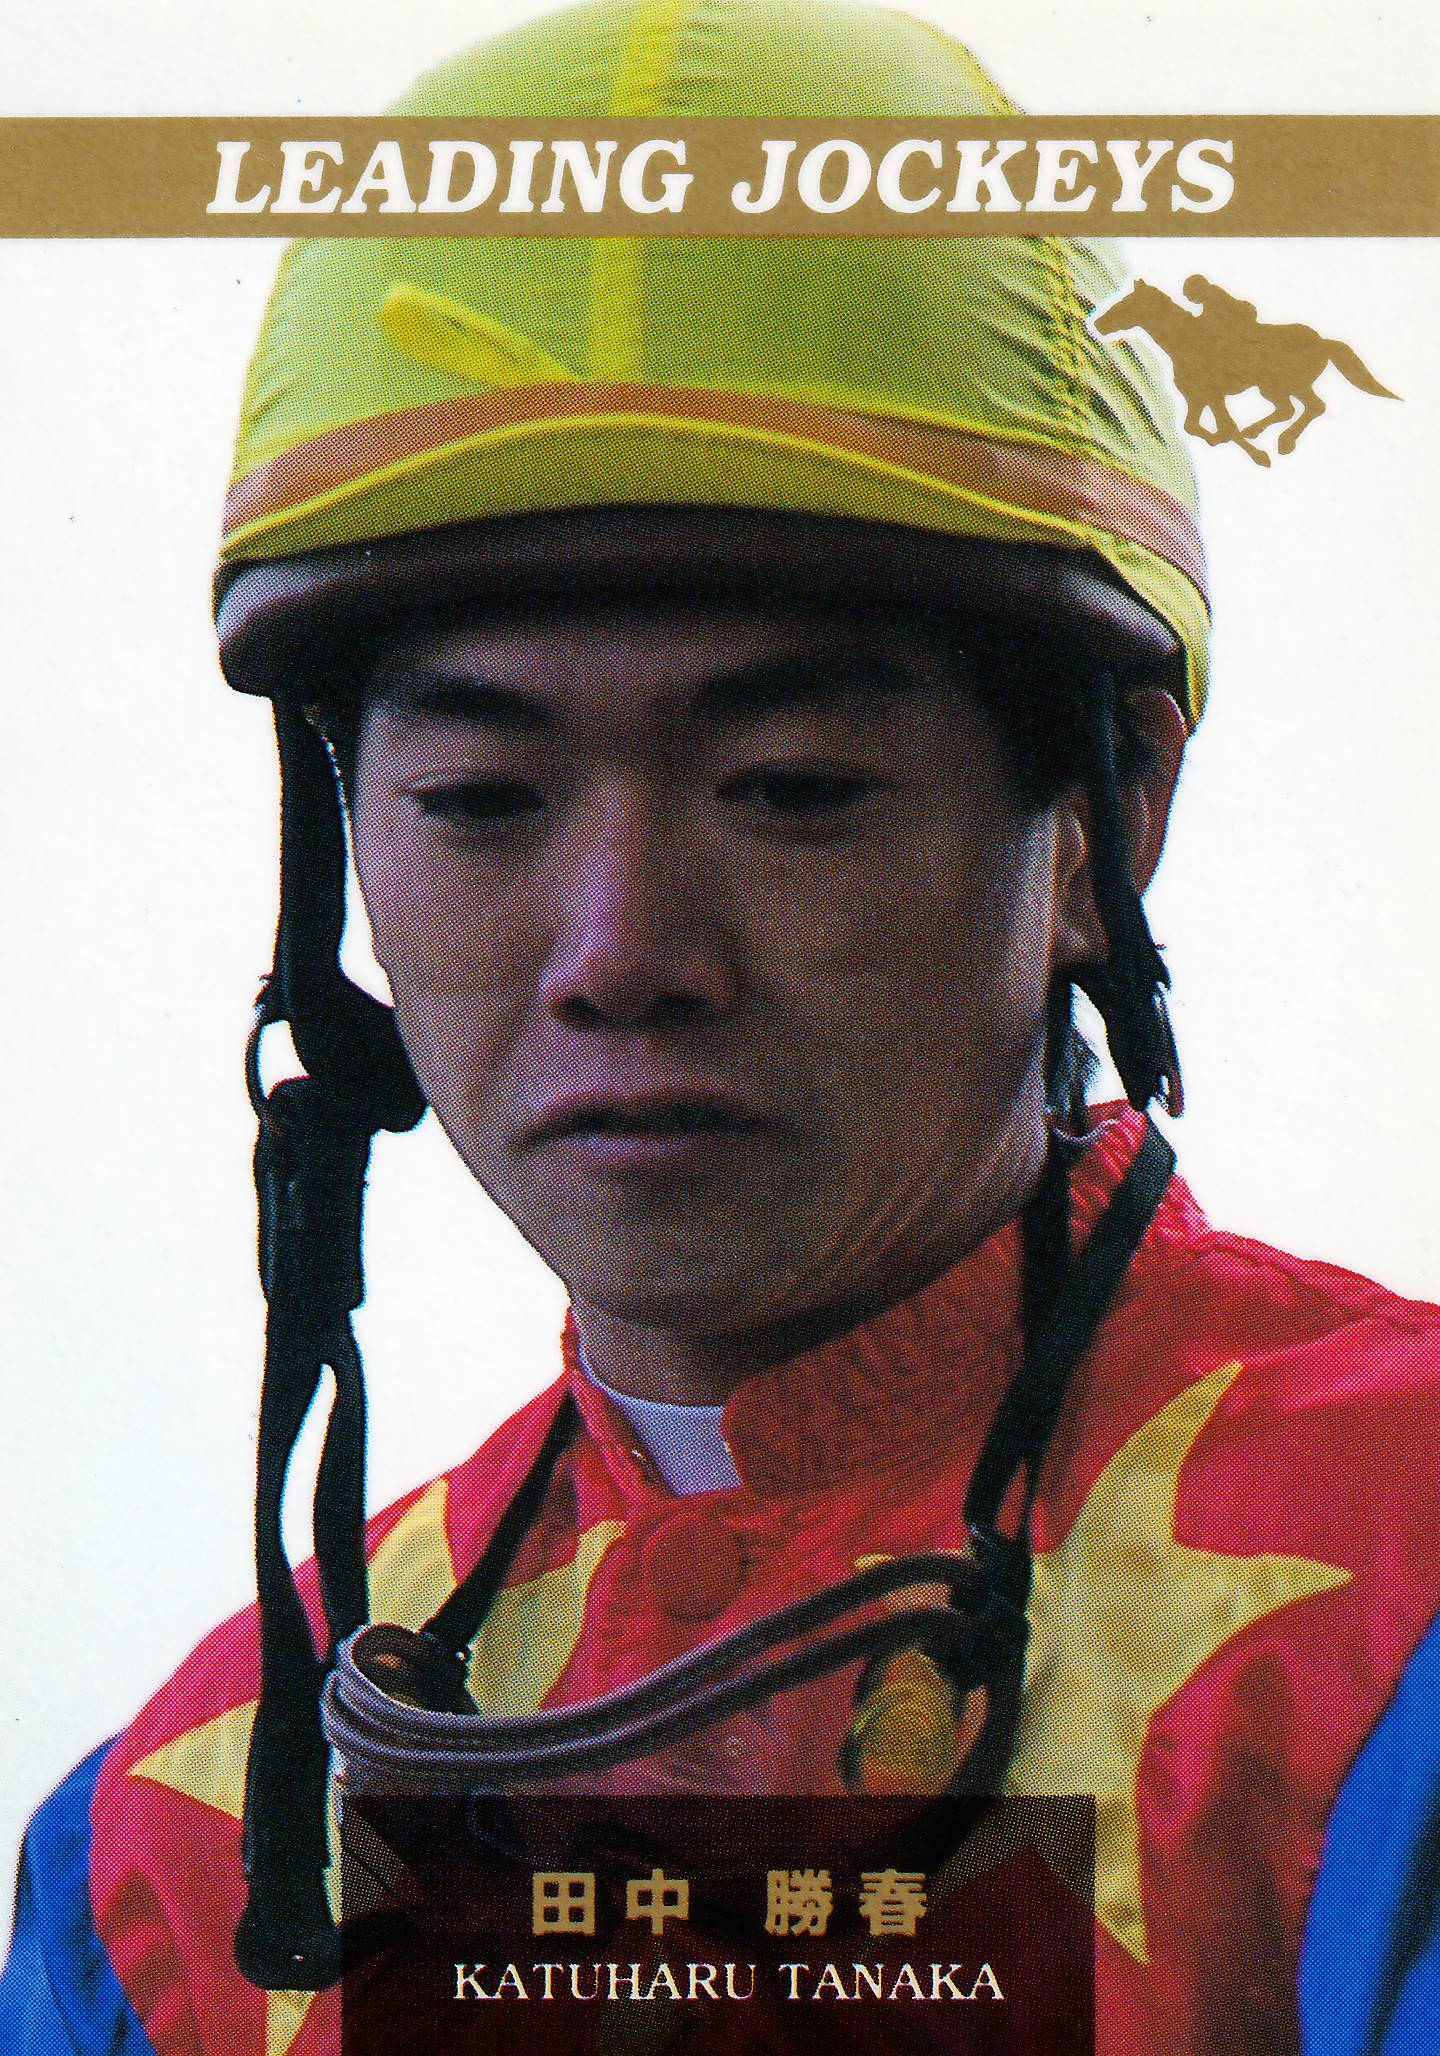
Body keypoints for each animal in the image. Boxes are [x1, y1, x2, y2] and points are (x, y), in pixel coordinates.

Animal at [1092, 279, 1398, 466]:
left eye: (1126, 303)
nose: (1098, 324)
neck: (1186, 342)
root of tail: (1324, 341)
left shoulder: (1213, 395)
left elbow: (1225, 426)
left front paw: (1258, 456)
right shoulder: (1198, 398)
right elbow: (1192, 426)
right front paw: (1219, 438)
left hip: (1277, 384)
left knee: (1303, 407)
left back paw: (1276, 439)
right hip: (1285, 386)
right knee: (1301, 408)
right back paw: (1265, 434)